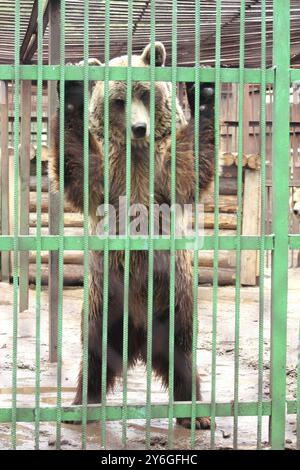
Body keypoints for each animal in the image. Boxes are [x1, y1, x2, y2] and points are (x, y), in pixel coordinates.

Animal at [51, 41, 214, 430]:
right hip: (104, 300)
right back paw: (82, 405)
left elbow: (192, 164)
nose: (140, 128)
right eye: (119, 100)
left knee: (184, 352)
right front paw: (73, 89)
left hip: (175, 299)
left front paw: (204, 92)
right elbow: (77, 163)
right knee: (94, 353)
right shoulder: (108, 181)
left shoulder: (163, 179)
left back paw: (196, 413)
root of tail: (139, 339)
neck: (136, 155)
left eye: (145, 93)